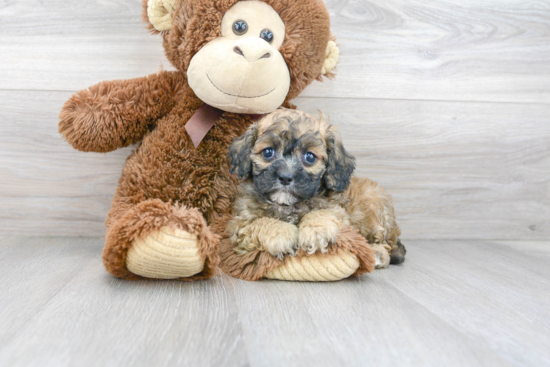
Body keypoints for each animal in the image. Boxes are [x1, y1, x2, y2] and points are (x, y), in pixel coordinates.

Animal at [222, 109, 408, 278]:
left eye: (310, 157)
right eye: (268, 152)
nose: (285, 177)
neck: (288, 205)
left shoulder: (337, 210)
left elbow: (321, 213)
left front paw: (316, 233)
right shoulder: (240, 224)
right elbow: (261, 222)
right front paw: (282, 234)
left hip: (375, 206)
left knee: (386, 244)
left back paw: (377, 255)